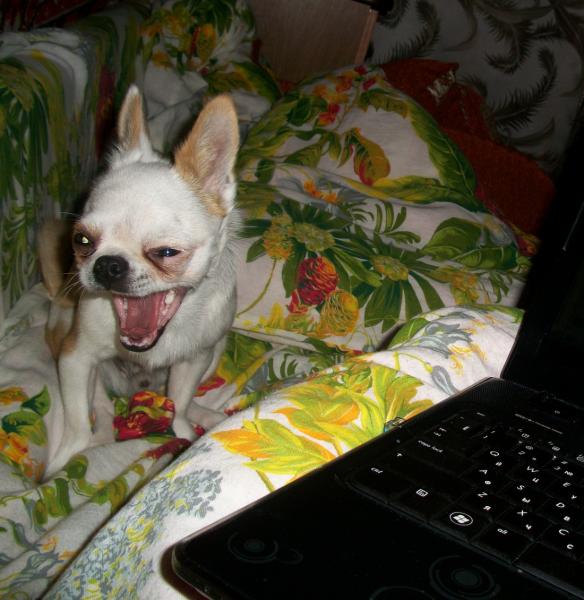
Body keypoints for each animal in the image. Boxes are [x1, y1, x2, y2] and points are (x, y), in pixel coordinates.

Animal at [40, 85, 240, 477]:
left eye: (166, 253)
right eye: (81, 241)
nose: (108, 265)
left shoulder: (193, 359)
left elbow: (179, 402)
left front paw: (183, 436)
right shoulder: (75, 357)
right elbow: (76, 423)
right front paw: (64, 462)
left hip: (215, 352)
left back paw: (207, 417)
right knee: (101, 408)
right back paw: (101, 438)